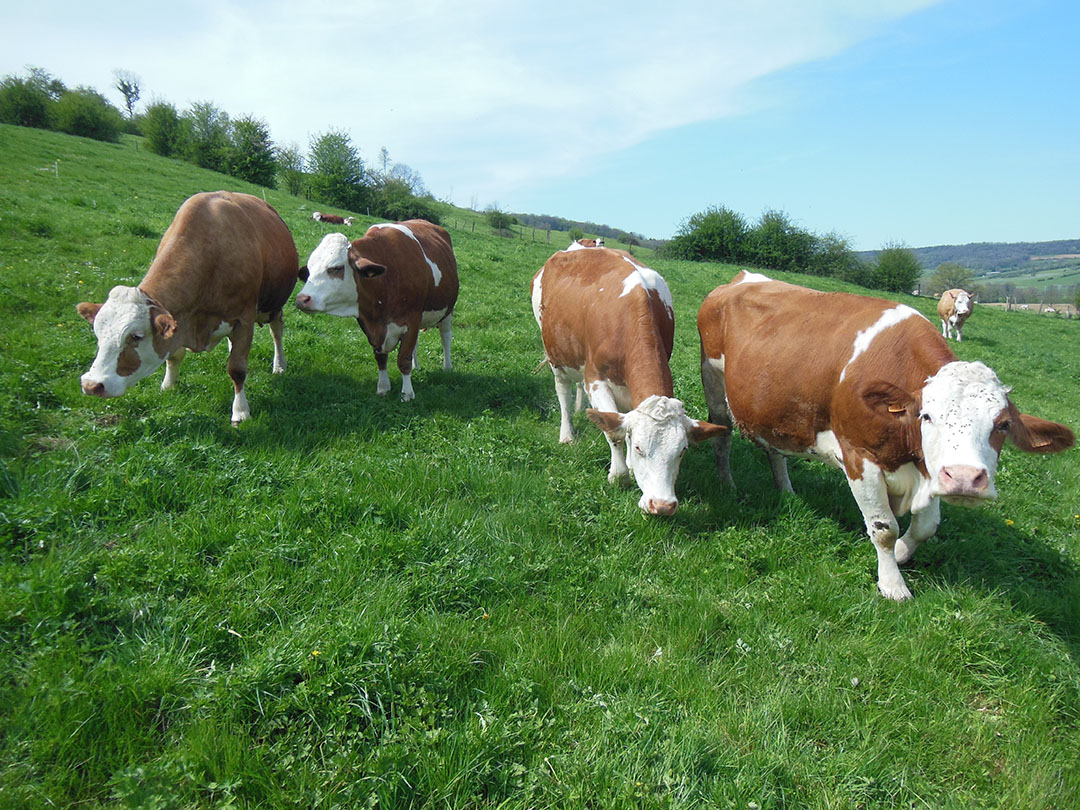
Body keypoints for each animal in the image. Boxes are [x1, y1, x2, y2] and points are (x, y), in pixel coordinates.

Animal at [77, 190, 300, 425]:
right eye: (97, 333)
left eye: (136, 336)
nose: (91, 385)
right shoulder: (179, 319)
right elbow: (174, 356)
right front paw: (168, 386)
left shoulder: (243, 319)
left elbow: (237, 369)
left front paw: (240, 412)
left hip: (273, 306)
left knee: (277, 331)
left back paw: (279, 365)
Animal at [298, 220, 457, 401]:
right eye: (310, 269)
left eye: (336, 267)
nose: (302, 299)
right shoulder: (369, 323)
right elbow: (380, 357)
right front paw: (383, 387)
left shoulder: (412, 319)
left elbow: (403, 359)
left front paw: (407, 393)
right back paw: (416, 366)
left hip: (448, 311)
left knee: (445, 337)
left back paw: (447, 367)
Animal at [531, 246, 725, 520]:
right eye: (641, 448)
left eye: (682, 451)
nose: (662, 505)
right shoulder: (595, 379)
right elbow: (613, 432)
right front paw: (619, 475)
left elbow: (624, 423)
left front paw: (631, 468)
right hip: (555, 352)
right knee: (563, 391)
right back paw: (567, 433)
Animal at [699, 274, 1071, 604]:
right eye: (927, 416)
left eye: (1003, 424)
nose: (965, 478)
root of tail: (740, 278)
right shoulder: (859, 457)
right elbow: (884, 528)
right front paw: (893, 584)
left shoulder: (929, 466)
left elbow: (926, 527)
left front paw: (904, 553)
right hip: (714, 381)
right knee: (723, 437)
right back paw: (727, 483)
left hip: (773, 407)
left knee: (775, 448)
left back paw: (786, 491)